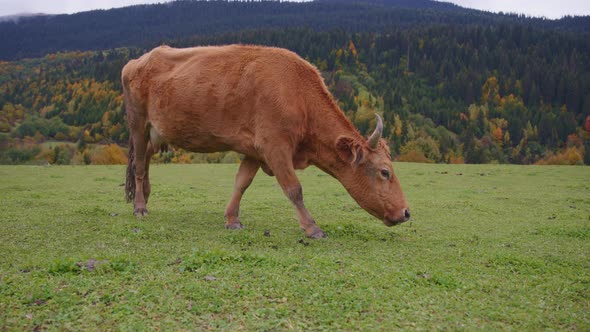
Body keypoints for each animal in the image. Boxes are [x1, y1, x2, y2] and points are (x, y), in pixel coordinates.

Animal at [123, 44, 412, 239]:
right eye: (385, 172)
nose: (407, 212)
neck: (298, 92)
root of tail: (139, 59)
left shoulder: (255, 150)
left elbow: (242, 183)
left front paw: (232, 219)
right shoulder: (275, 146)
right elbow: (294, 189)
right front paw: (312, 227)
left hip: (156, 133)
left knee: (145, 161)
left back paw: (145, 196)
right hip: (137, 124)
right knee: (138, 165)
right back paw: (139, 207)